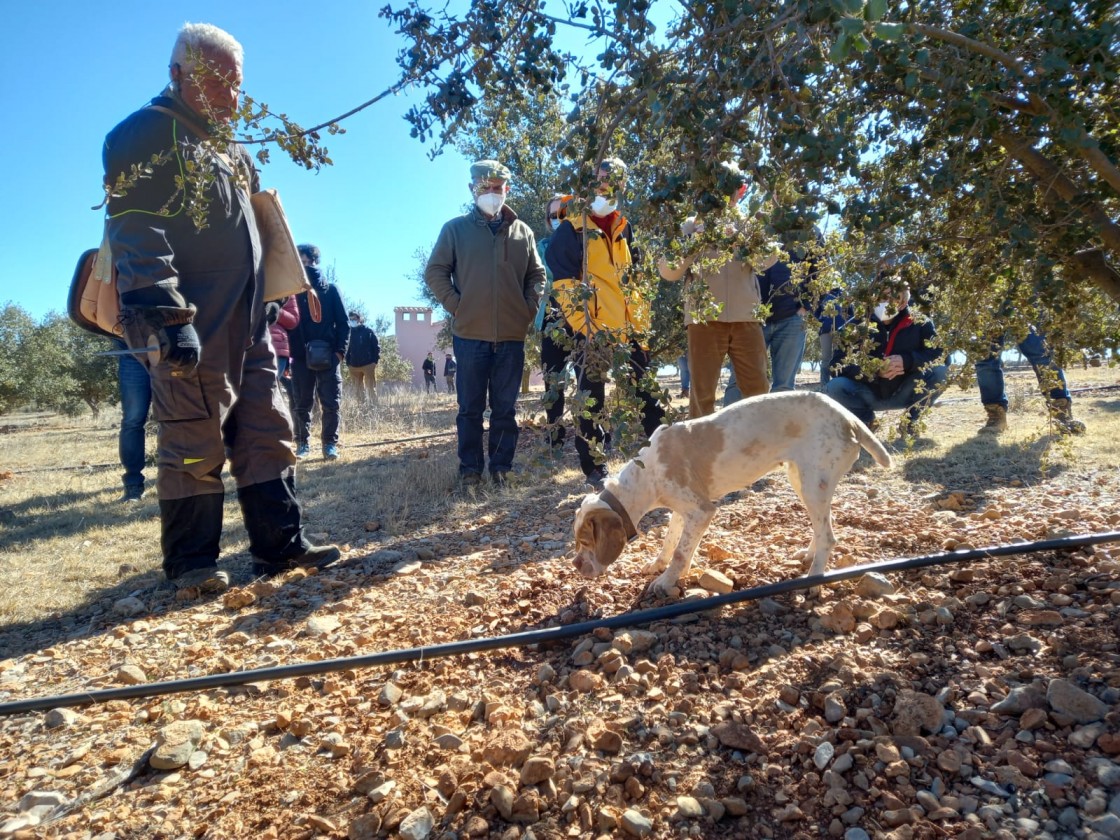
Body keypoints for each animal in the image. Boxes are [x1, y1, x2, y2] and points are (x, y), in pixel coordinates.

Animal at [573, 392, 887, 595]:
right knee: (821, 529)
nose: (576, 566)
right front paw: (659, 565)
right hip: (803, 480)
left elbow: (680, 553)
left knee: (829, 537)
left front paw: (666, 582)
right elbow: (671, 543)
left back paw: (813, 581)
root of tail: (848, 417)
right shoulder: (683, 510)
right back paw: (808, 556)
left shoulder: (702, 511)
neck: (645, 473)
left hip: (813, 485)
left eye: (587, 541)